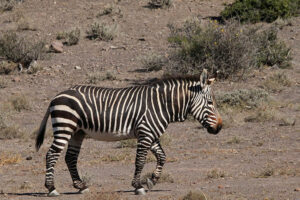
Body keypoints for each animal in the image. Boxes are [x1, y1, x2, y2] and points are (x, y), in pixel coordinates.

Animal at [35, 68, 223, 195]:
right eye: (210, 103)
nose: (220, 127)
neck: (162, 105)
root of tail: (56, 97)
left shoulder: (150, 134)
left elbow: (162, 156)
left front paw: (152, 181)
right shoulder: (145, 133)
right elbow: (140, 161)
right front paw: (138, 186)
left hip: (77, 133)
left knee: (70, 157)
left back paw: (80, 186)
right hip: (64, 127)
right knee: (52, 154)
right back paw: (51, 188)